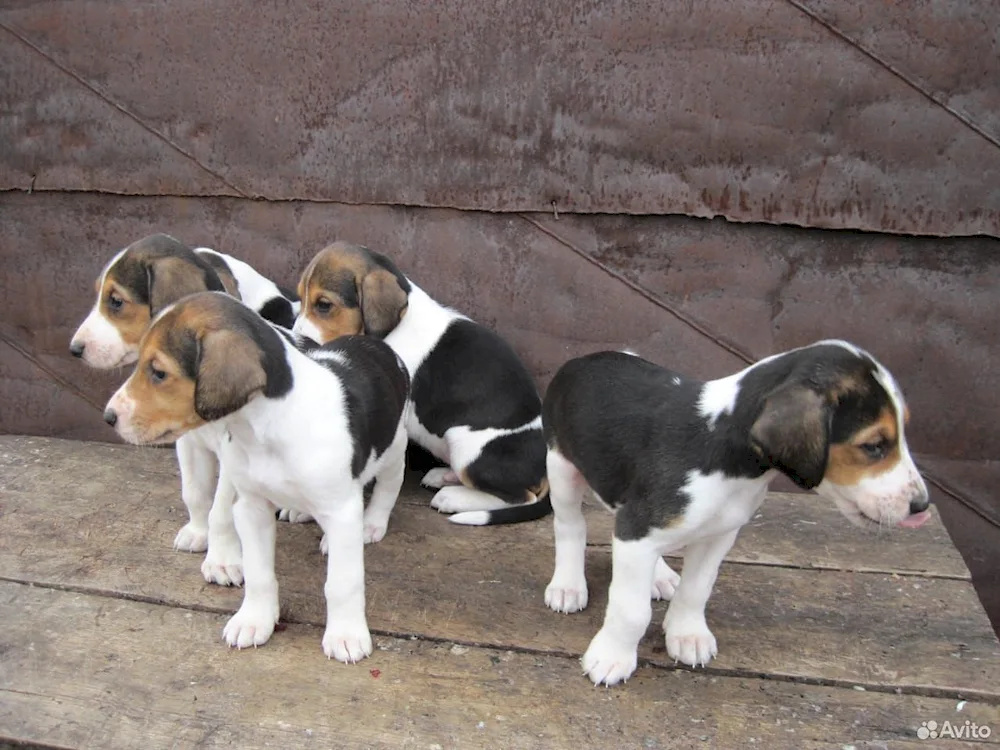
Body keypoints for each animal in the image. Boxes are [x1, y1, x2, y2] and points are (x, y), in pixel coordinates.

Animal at [70, 235, 298, 588]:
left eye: (116, 301)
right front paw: (198, 532)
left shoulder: (234, 455)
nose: (75, 349)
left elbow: (221, 511)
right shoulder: (189, 441)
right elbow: (195, 493)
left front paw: (221, 560)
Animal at [103, 294, 408, 664]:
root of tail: (378, 346)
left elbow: (342, 583)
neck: (270, 426)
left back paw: (371, 524)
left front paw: (346, 635)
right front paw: (254, 620)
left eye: (159, 372)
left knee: (388, 486)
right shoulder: (251, 508)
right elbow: (259, 574)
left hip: (395, 446)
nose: (109, 417)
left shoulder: (341, 512)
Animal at [292, 244, 552, 524]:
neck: (394, 329)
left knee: (521, 497)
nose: (297, 341)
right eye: (300, 300)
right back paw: (444, 476)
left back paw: (452, 498)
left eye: (324, 305)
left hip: (467, 448)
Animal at [544, 340, 932, 688]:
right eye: (874, 446)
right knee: (570, 527)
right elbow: (631, 610)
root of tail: (584, 358)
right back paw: (568, 585)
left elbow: (697, 589)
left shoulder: (718, 535)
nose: (922, 506)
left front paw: (687, 634)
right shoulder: (637, 528)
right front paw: (612, 657)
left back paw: (660, 575)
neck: (722, 450)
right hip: (562, 470)